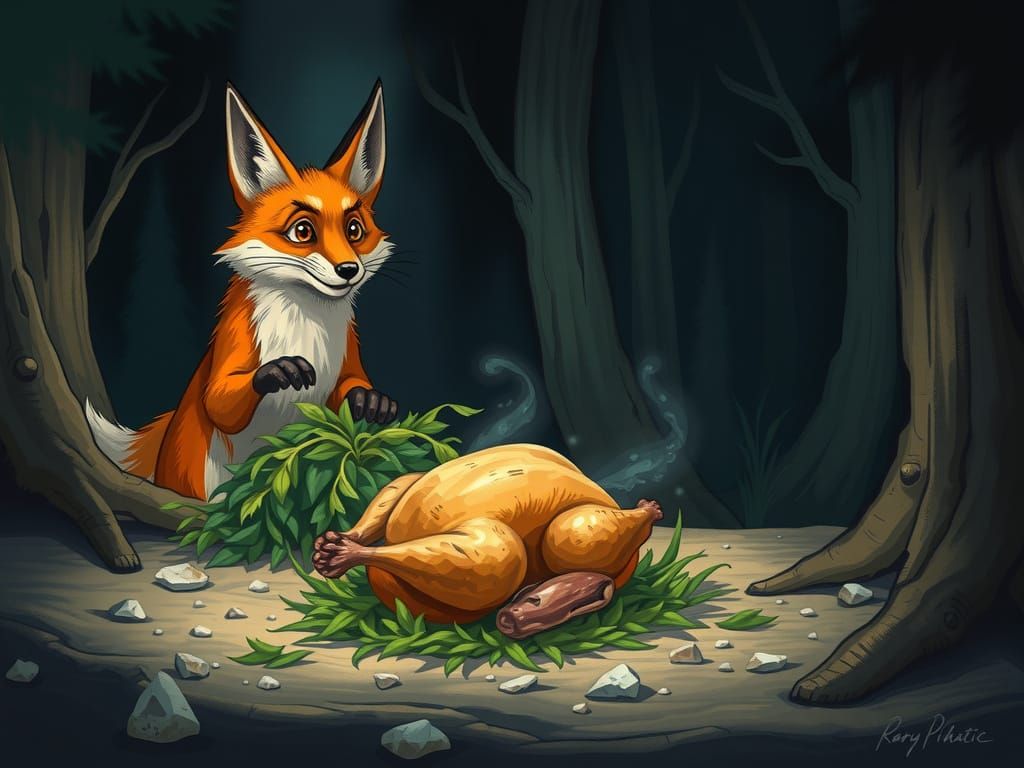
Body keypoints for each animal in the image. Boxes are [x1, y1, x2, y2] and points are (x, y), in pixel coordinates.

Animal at [86, 81, 398, 501]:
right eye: (303, 231)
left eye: (354, 230)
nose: (348, 270)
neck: (306, 323)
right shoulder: (233, 344)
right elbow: (220, 401)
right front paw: (279, 370)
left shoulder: (348, 354)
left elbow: (351, 386)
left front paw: (369, 399)